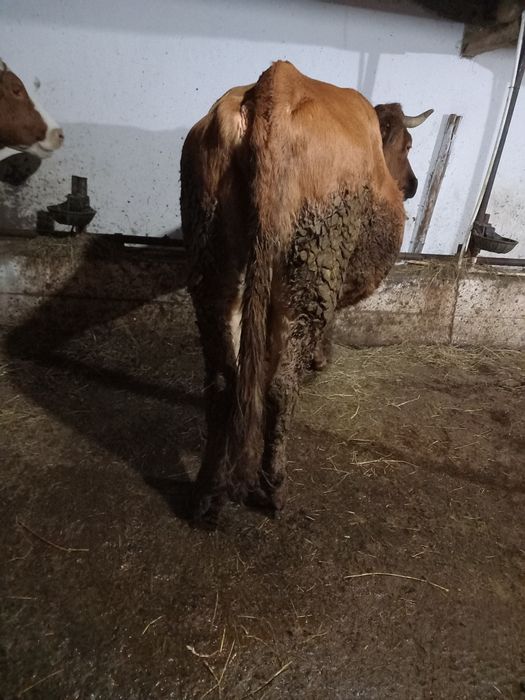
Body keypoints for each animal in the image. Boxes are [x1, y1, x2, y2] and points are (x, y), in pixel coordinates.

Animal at [181, 61, 432, 522]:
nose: (412, 184)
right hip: (316, 263)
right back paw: (273, 487)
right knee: (281, 386)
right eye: (407, 145)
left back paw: (209, 492)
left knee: (224, 379)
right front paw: (321, 357)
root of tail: (277, 83)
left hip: (212, 251)